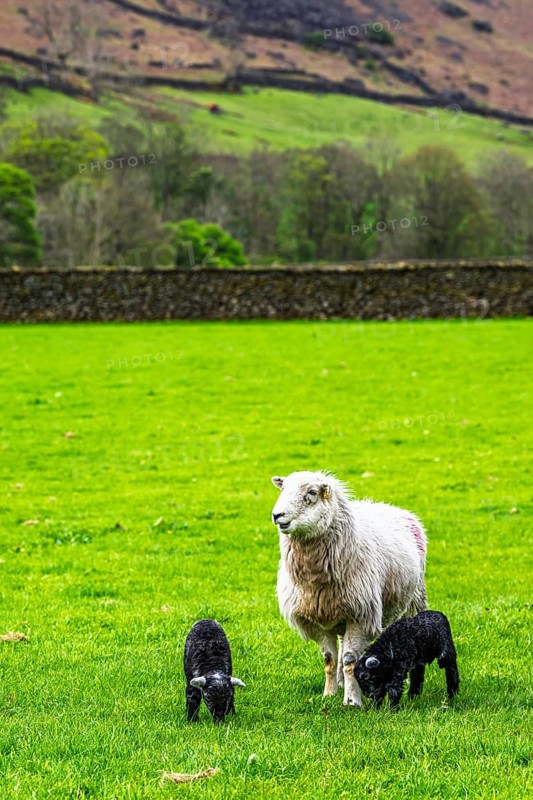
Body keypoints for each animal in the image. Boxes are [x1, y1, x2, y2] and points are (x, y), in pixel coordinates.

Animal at [271, 470, 427, 707]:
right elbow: (330, 659)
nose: (277, 515)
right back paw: (341, 682)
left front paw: (352, 701)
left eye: (312, 492)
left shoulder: (361, 615)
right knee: (343, 644)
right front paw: (329, 694)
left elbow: (349, 660)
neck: (316, 580)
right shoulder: (316, 618)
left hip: (414, 601)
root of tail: (389, 506)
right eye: (283, 488)